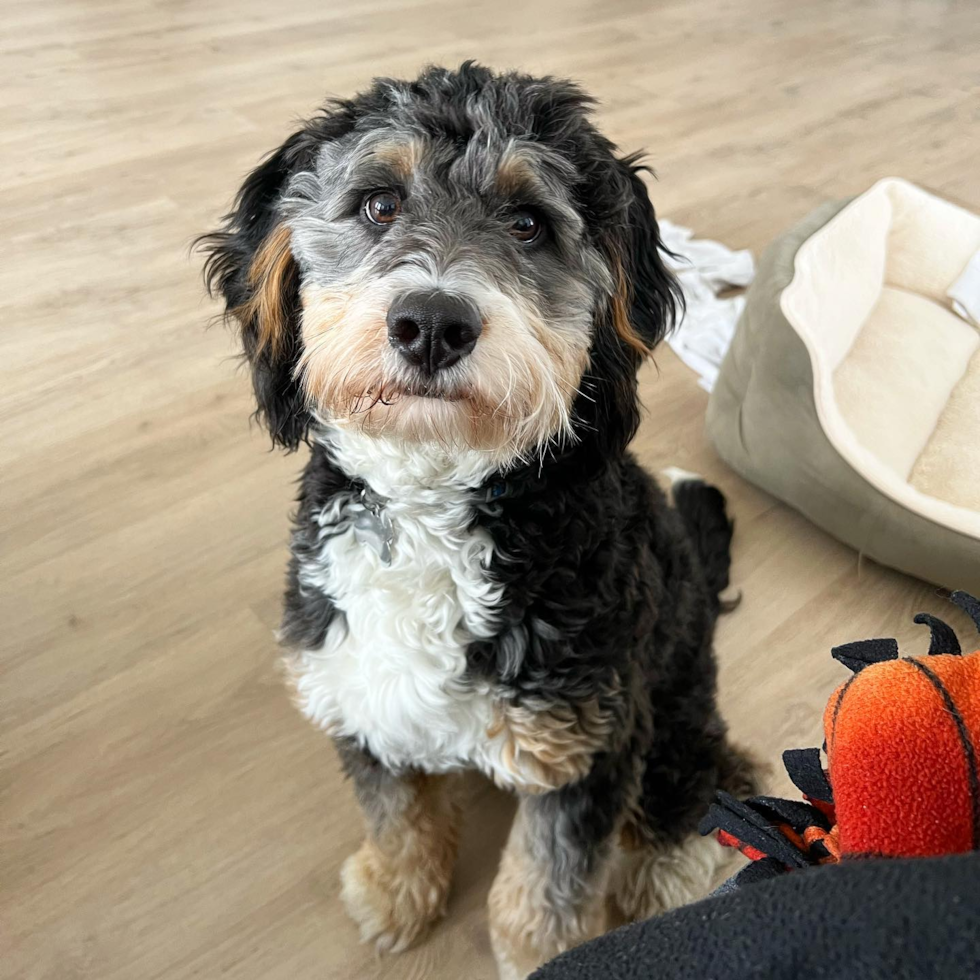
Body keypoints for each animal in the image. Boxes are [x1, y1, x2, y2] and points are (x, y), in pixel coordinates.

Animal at [197, 61, 752, 980]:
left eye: (529, 223)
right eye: (378, 203)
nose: (431, 323)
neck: (434, 502)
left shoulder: (589, 739)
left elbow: (546, 884)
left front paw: (543, 957)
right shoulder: (358, 688)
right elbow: (396, 812)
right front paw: (397, 892)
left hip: (671, 700)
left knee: (708, 777)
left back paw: (667, 868)